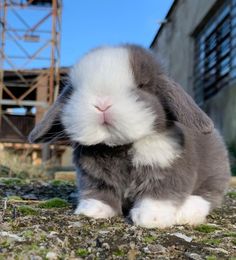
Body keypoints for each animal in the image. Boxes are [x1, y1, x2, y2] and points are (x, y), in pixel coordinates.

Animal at [28, 45, 230, 229]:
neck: (119, 146)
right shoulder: (94, 178)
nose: (102, 103)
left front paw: (151, 219)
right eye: (76, 90)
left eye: (141, 86)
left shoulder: (167, 170)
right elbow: (98, 192)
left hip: (214, 173)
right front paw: (93, 210)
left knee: (209, 196)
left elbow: (159, 194)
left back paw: (186, 212)